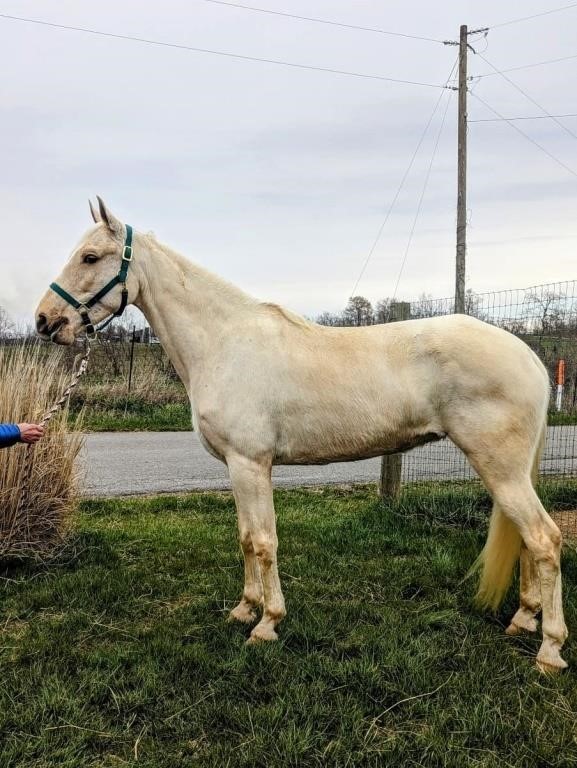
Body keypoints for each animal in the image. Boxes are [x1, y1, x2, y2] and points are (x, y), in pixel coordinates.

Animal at [36, 200, 568, 672]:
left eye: (90, 257)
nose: (44, 321)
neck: (224, 343)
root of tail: (528, 355)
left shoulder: (251, 464)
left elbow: (264, 541)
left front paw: (268, 624)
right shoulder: (239, 468)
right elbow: (246, 538)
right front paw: (245, 609)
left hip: (501, 469)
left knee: (544, 539)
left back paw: (549, 650)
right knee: (526, 539)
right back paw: (523, 620)